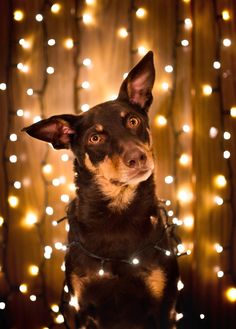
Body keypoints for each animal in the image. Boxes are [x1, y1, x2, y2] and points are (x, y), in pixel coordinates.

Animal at [24, 52, 179, 328]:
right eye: (95, 138)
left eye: (133, 121)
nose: (137, 157)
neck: (117, 214)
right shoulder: (77, 307)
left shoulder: (165, 307)